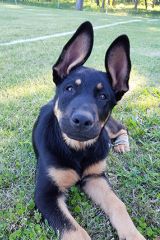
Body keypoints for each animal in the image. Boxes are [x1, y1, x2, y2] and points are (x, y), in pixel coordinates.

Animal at [32, 21, 145, 239]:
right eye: (69, 88)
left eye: (103, 97)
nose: (82, 120)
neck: (77, 149)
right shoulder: (45, 194)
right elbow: (75, 230)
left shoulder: (96, 177)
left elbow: (118, 205)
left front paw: (134, 235)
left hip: (107, 128)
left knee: (121, 128)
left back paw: (121, 145)